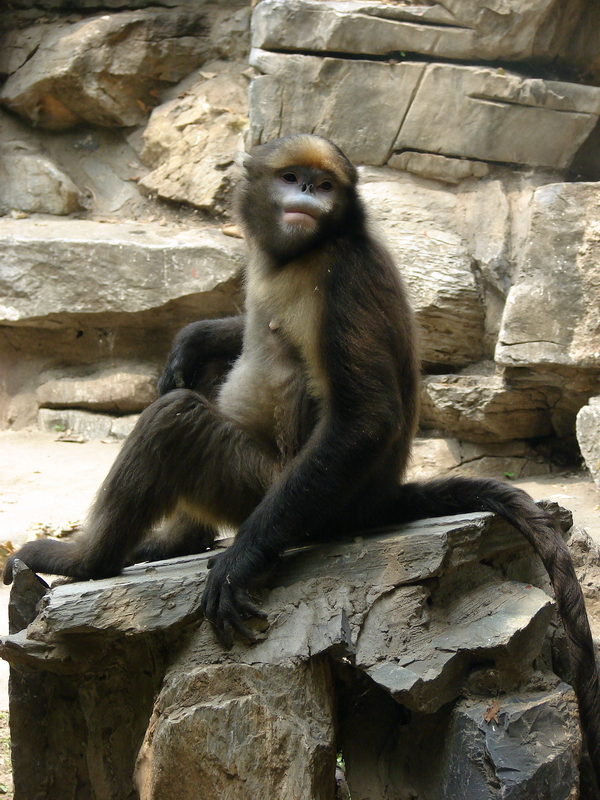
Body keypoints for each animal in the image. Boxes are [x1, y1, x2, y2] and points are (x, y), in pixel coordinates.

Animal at [4, 134, 600, 782]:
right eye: (292, 178)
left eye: (325, 186)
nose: (308, 194)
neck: (297, 256)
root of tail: (376, 499)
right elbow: (220, 345)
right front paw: (195, 337)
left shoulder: (343, 275)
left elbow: (364, 418)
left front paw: (237, 562)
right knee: (194, 388)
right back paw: (171, 539)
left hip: (271, 486)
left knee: (178, 416)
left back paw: (90, 559)